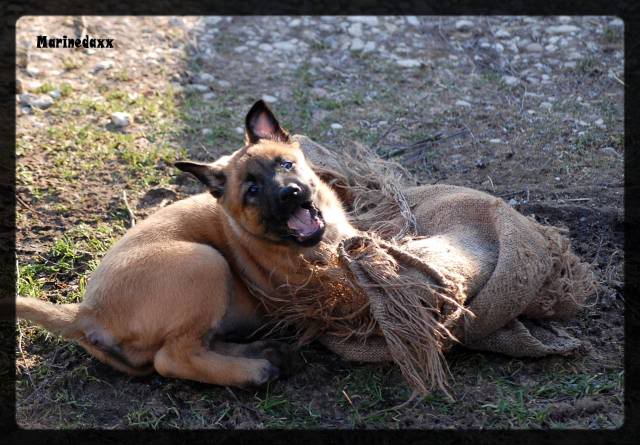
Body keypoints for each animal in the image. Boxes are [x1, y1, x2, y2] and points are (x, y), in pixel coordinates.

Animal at [15, 99, 358, 386]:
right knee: (173, 357)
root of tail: (89, 311)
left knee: (194, 345)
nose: (290, 194)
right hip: (206, 262)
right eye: (252, 191)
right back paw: (255, 370)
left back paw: (266, 352)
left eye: (286, 164)